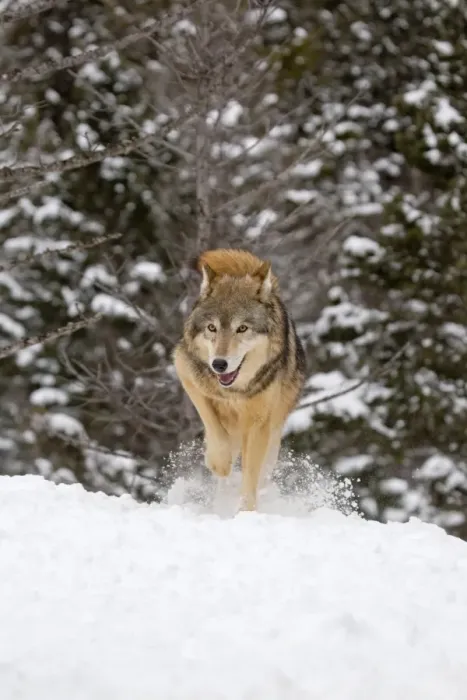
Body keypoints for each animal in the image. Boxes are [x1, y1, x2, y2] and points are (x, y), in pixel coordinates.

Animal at [173, 248, 306, 511]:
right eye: (211, 328)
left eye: (242, 328)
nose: (219, 364)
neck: (234, 391)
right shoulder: (186, 374)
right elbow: (215, 431)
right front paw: (218, 462)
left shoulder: (258, 425)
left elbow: (250, 477)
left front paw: (246, 512)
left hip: (272, 440)